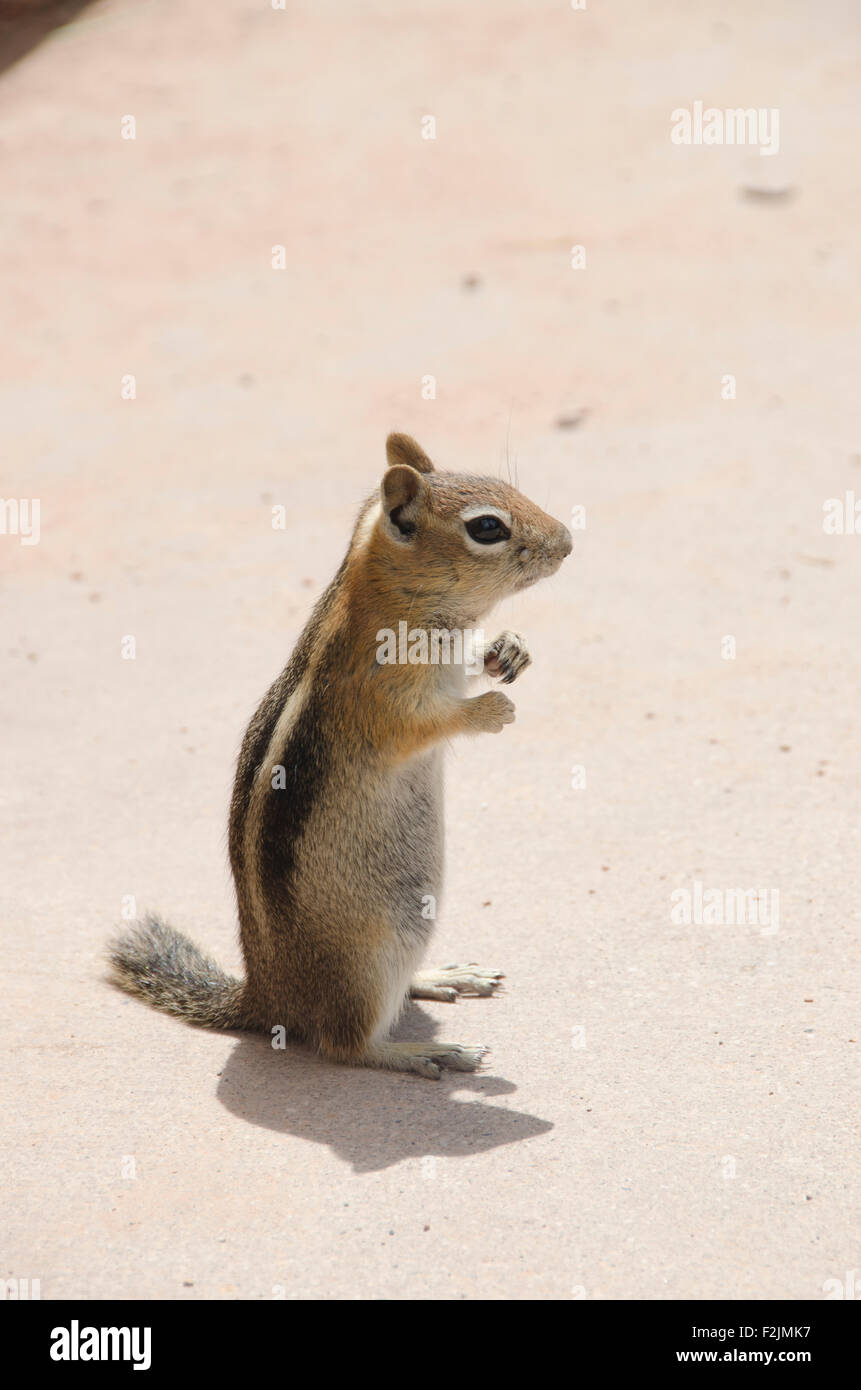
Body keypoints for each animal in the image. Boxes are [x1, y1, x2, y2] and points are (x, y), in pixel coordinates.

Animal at [111, 430, 575, 1073]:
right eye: (488, 528)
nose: (569, 543)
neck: (389, 595)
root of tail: (266, 996)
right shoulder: (381, 695)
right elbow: (423, 725)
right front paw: (490, 710)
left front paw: (510, 648)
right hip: (376, 952)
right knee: (346, 1044)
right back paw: (425, 1051)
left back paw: (441, 976)